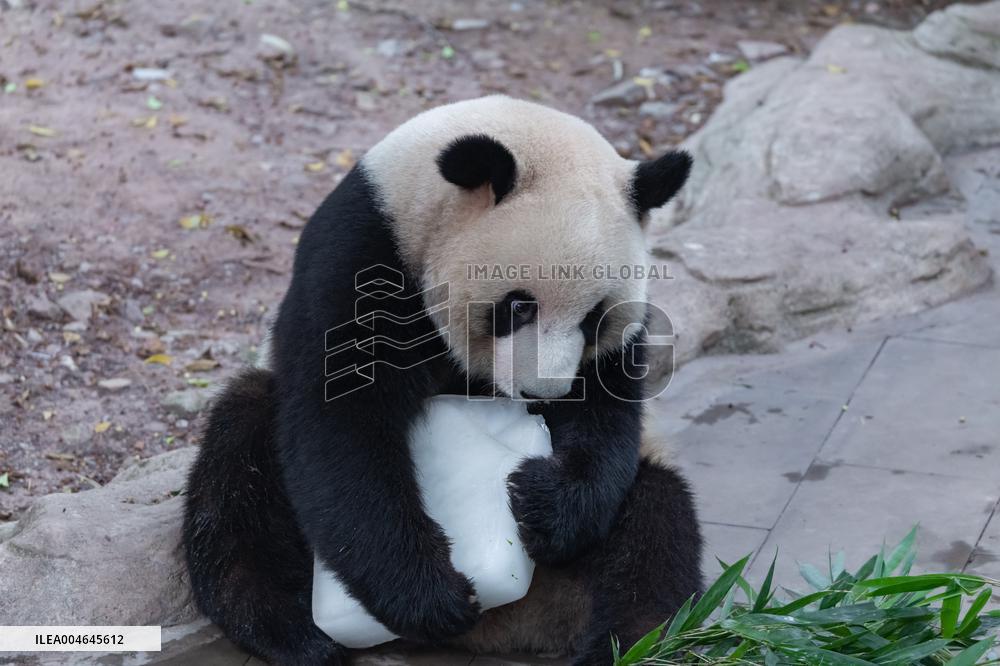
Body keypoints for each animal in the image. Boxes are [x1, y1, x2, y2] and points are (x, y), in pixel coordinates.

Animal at [182, 95, 702, 666]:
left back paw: (624, 646)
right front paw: (430, 595)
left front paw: (544, 504)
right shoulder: (360, 256)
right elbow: (342, 431)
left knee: (656, 528)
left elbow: (606, 416)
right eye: (518, 306)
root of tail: (508, 627)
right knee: (238, 463)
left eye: (594, 319)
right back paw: (294, 630)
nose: (542, 394)